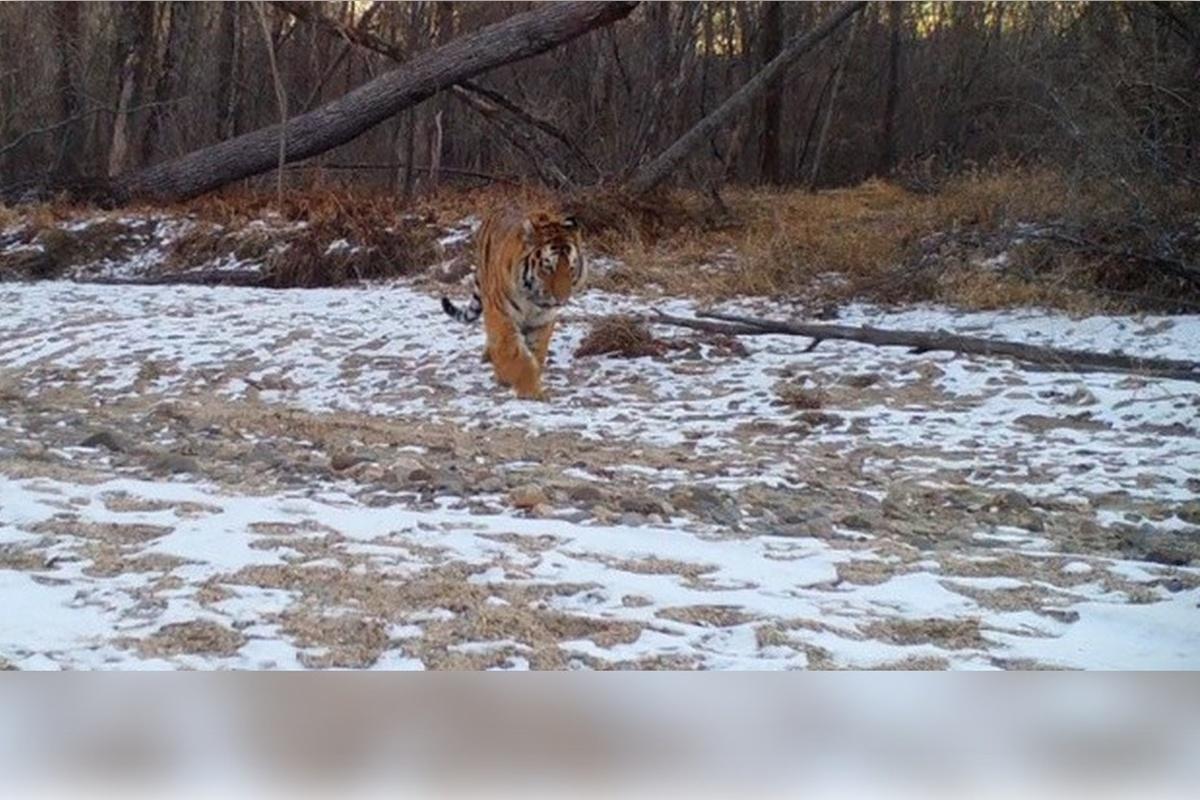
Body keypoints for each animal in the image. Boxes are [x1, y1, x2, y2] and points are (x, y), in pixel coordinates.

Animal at [446, 206, 585, 400]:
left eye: (571, 268)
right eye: (548, 268)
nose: (561, 299)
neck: (533, 300)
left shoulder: (541, 322)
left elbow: (535, 354)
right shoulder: (501, 314)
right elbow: (515, 356)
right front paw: (529, 389)